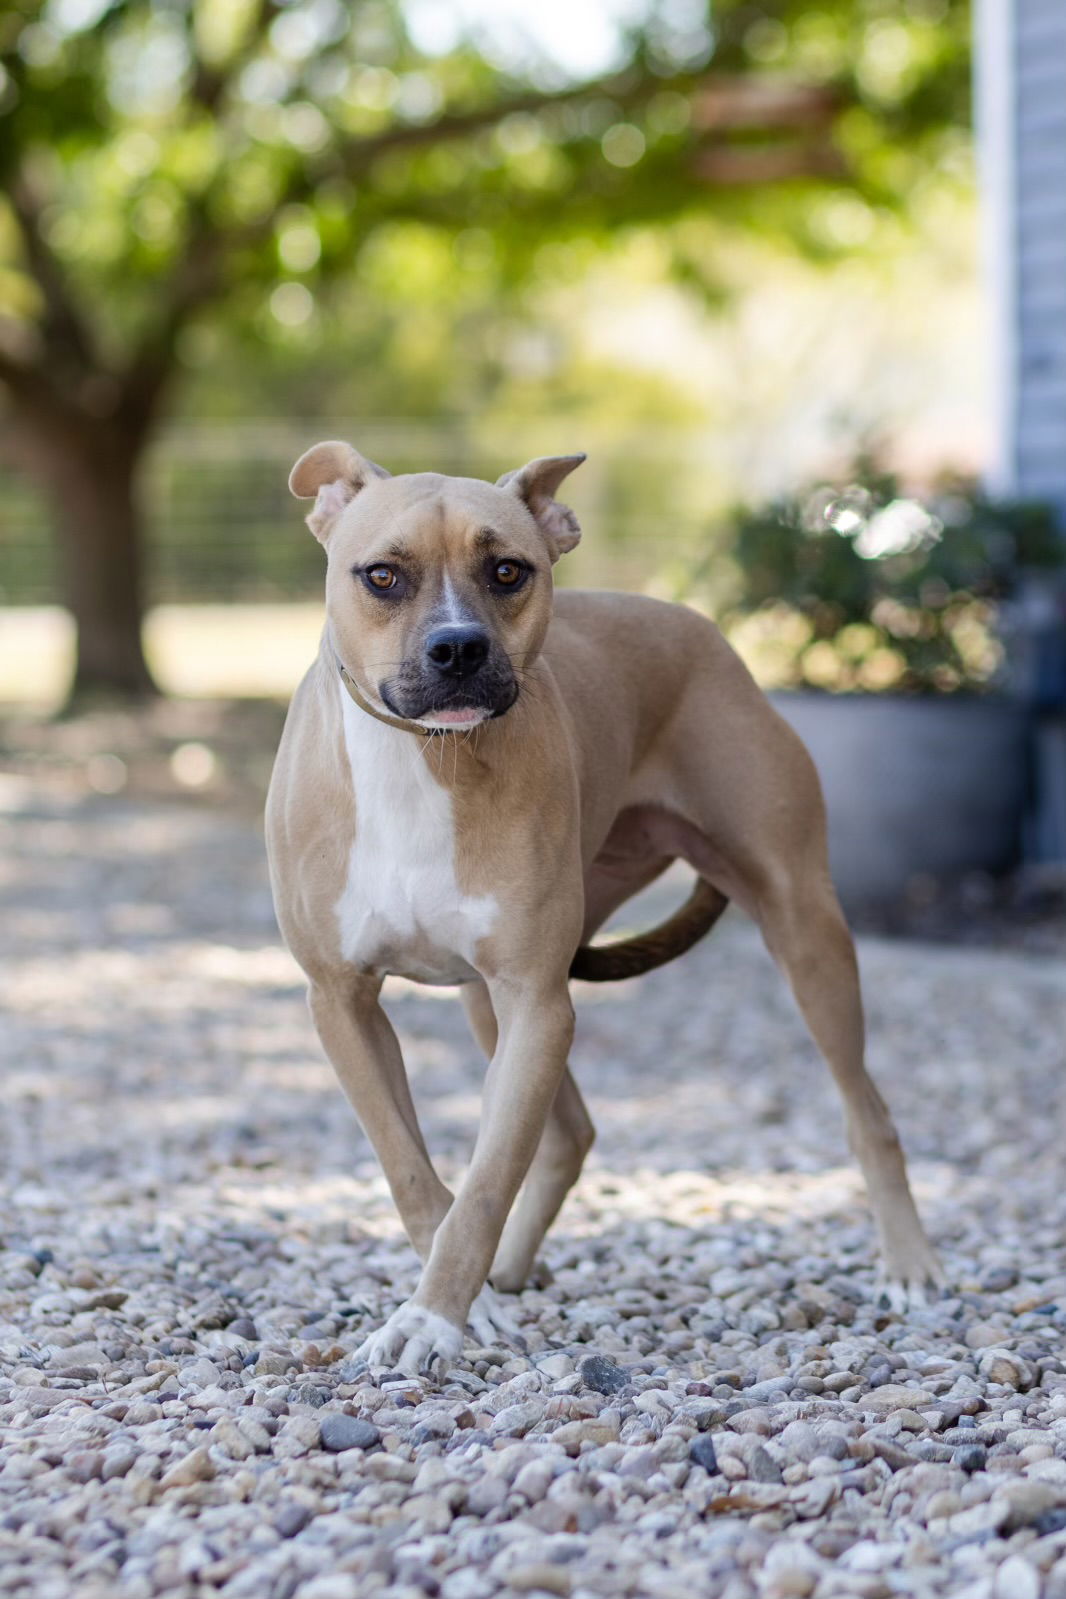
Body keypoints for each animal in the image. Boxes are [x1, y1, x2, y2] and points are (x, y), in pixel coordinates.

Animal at [266, 438, 939, 1375]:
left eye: (508, 570)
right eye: (383, 576)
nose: (458, 647)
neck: (423, 762)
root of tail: (702, 630)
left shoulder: (536, 1001)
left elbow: (483, 1181)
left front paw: (436, 1315)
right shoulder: (345, 1002)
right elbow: (413, 1168)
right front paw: (462, 1303)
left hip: (805, 933)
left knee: (867, 1112)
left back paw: (909, 1265)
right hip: (493, 1002)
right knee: (569, 1132)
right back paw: (509, 1275)